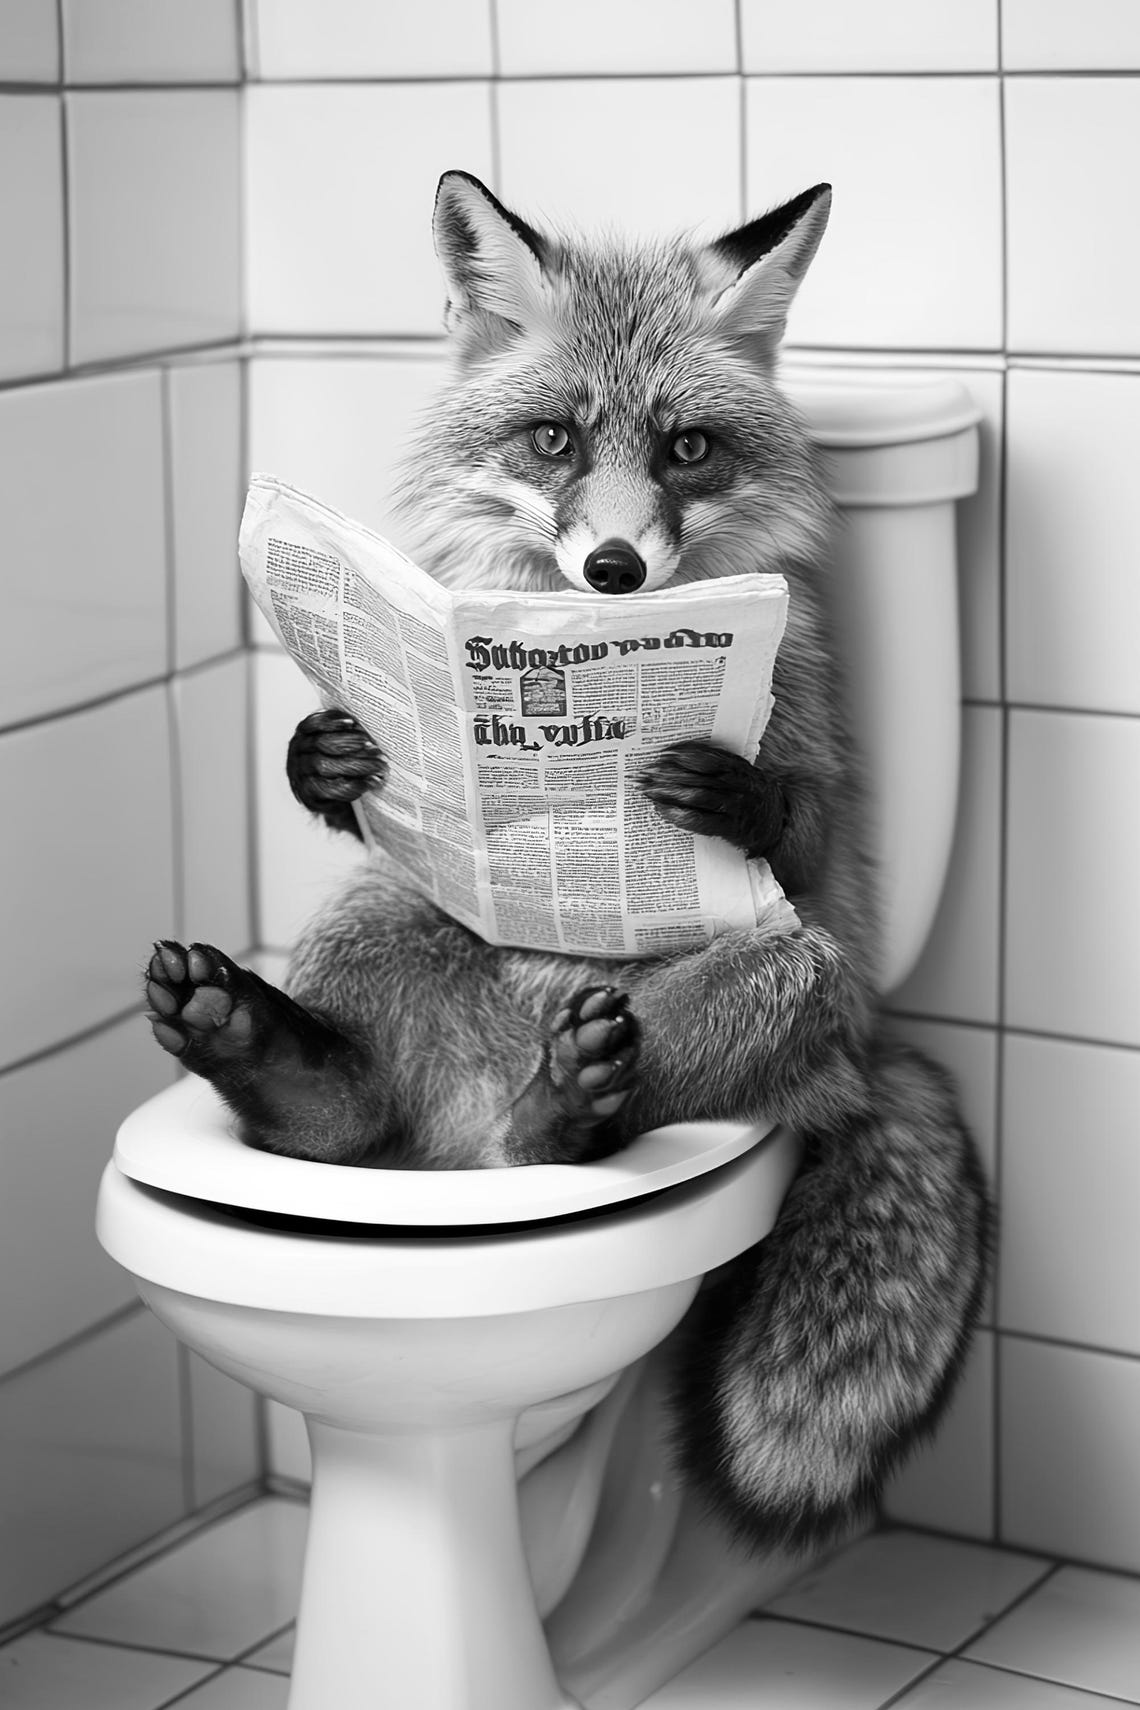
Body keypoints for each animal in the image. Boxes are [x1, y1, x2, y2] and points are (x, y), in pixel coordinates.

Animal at [144, 170, 993, 1553]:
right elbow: (355, 770)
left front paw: (734, 795)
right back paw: (269, 1056)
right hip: (380, 917)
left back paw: (567, 1105)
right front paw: (323, 756)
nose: (614, 571)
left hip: (797, 981)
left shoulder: (813, 744)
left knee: (603, 1108)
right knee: (354, 1121)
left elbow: (808, 819)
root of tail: (473, 1120)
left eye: (687, 449)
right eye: (552, 440)